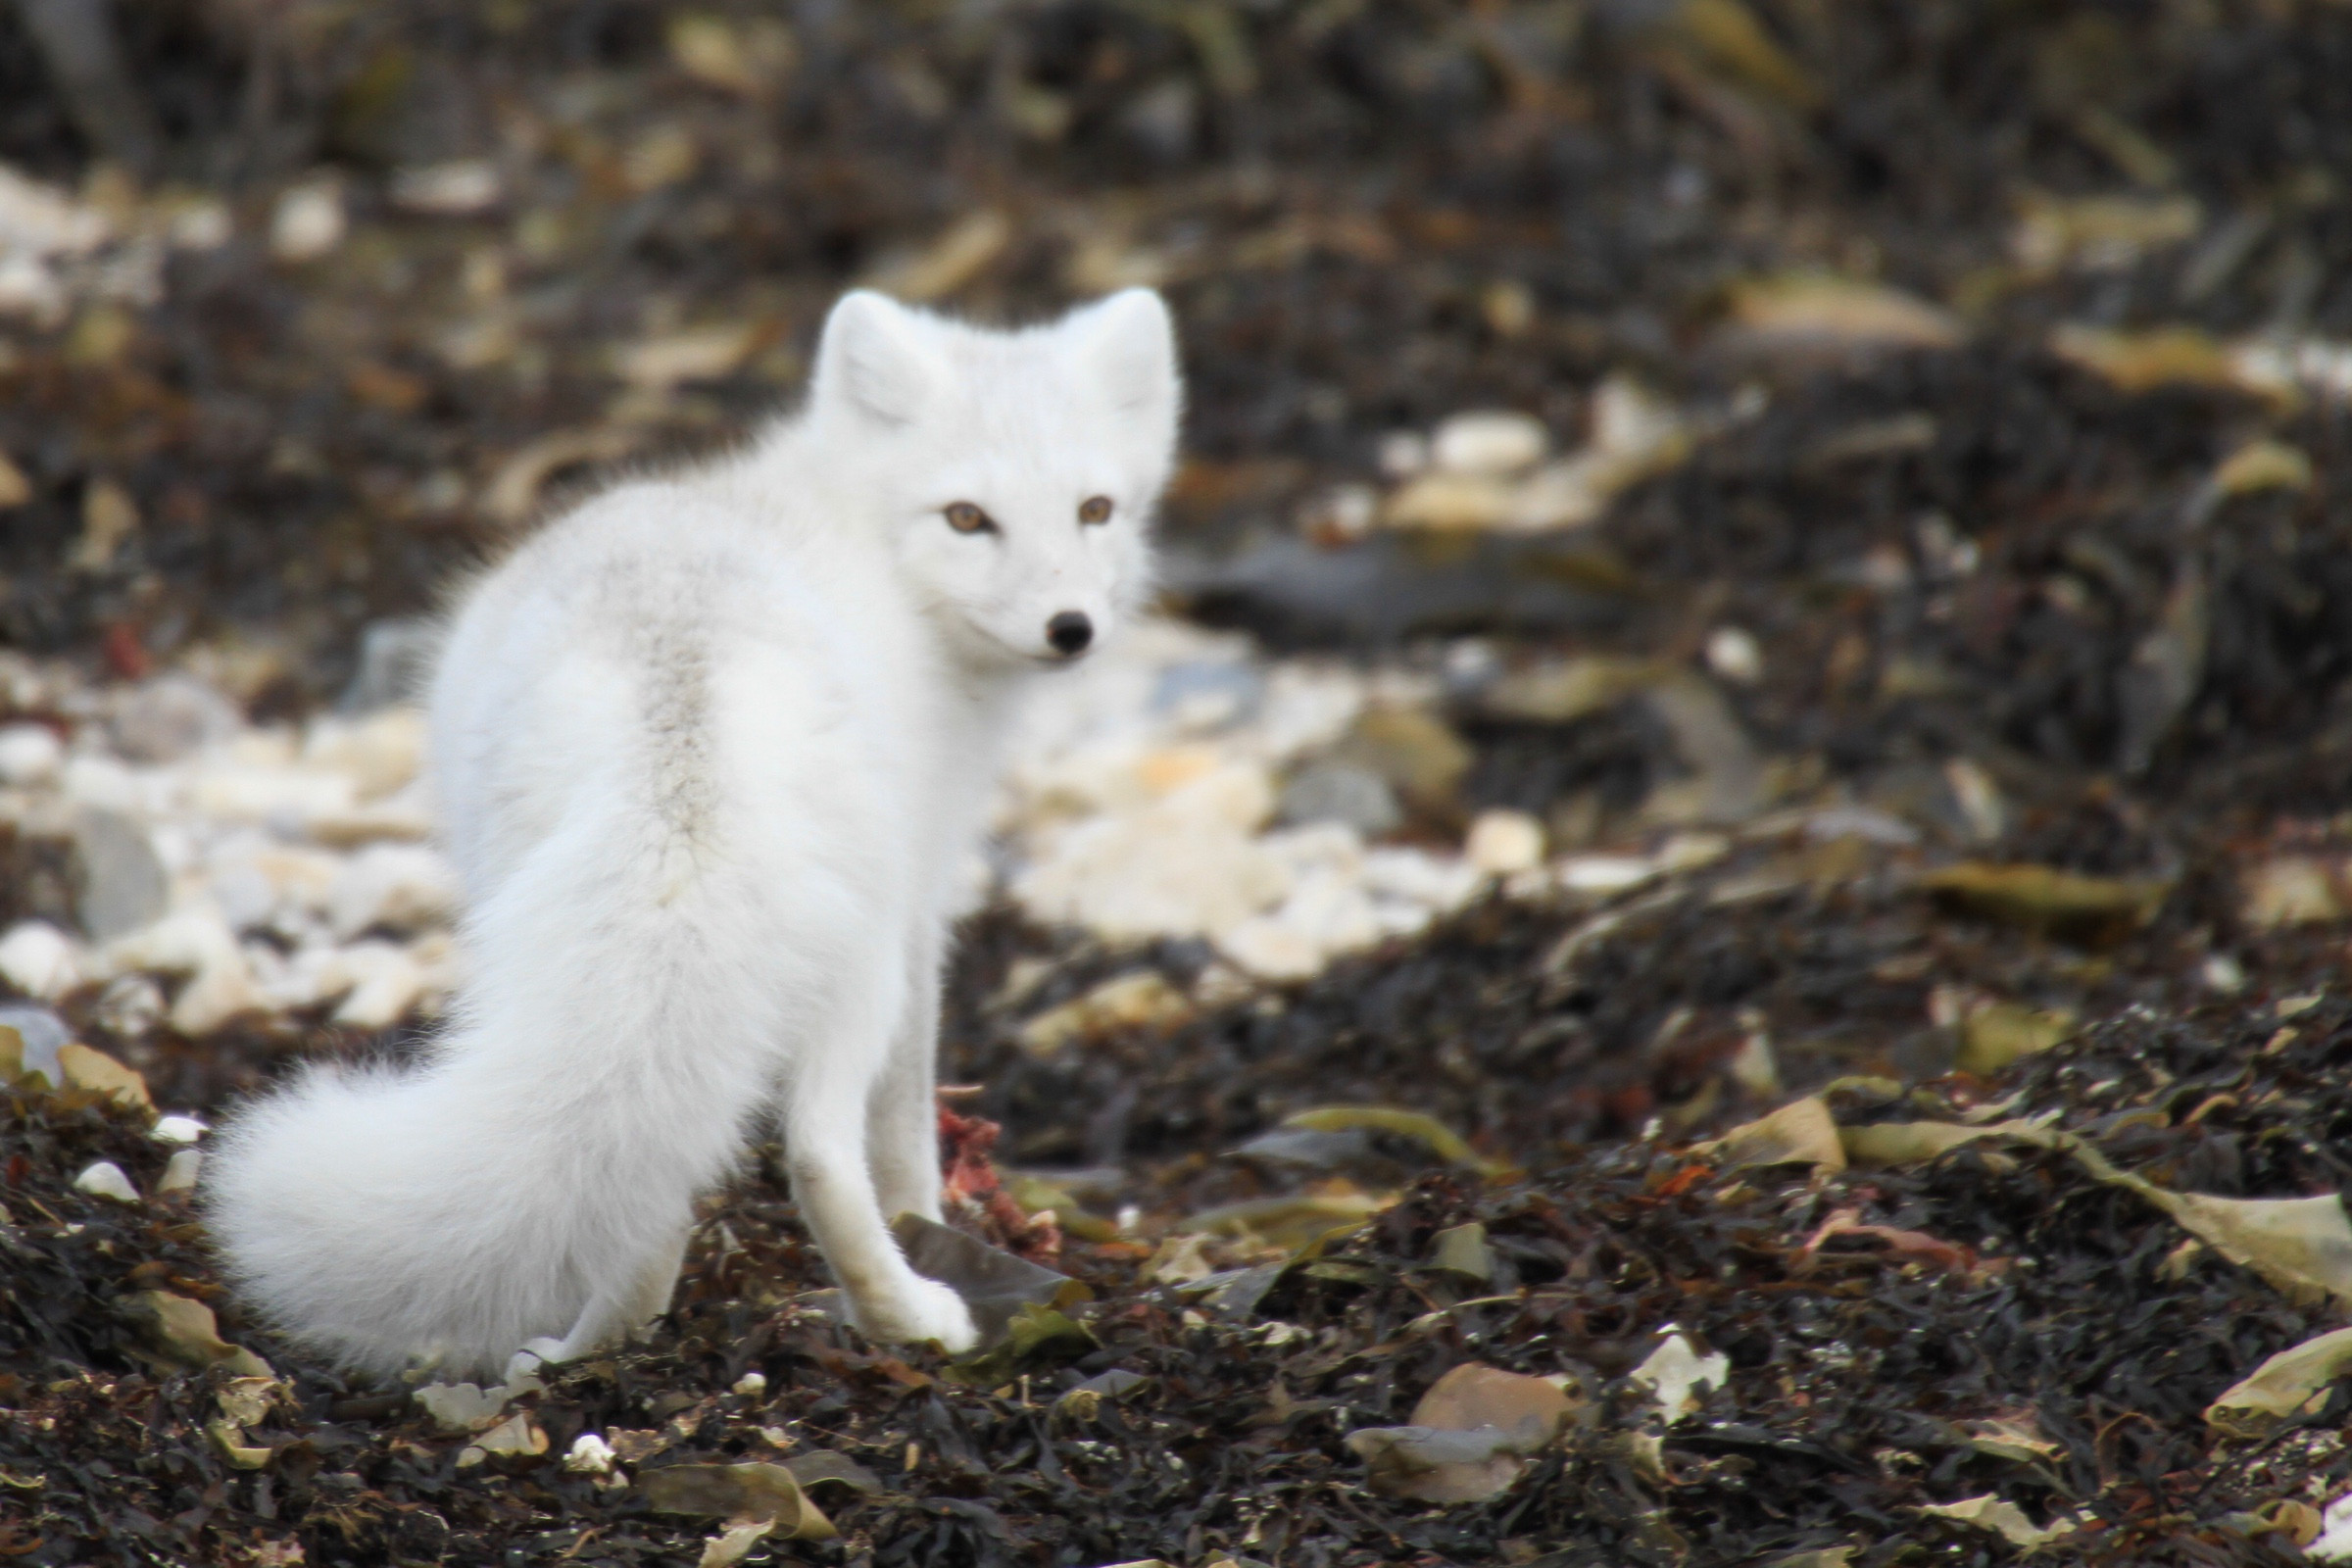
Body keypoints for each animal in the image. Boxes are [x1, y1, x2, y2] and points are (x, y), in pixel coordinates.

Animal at [207, 287, 1176, 1382]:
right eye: (968, 518)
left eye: (1096, 510)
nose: (1071, 628)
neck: (855, 526)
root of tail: (679, 713)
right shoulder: (924, 905)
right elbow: (904, 1131)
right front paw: (930, 1226)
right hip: (862, 954)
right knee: (815, 1148)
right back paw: (908, 1316)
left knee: (649, 1188)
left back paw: (585, 1349)